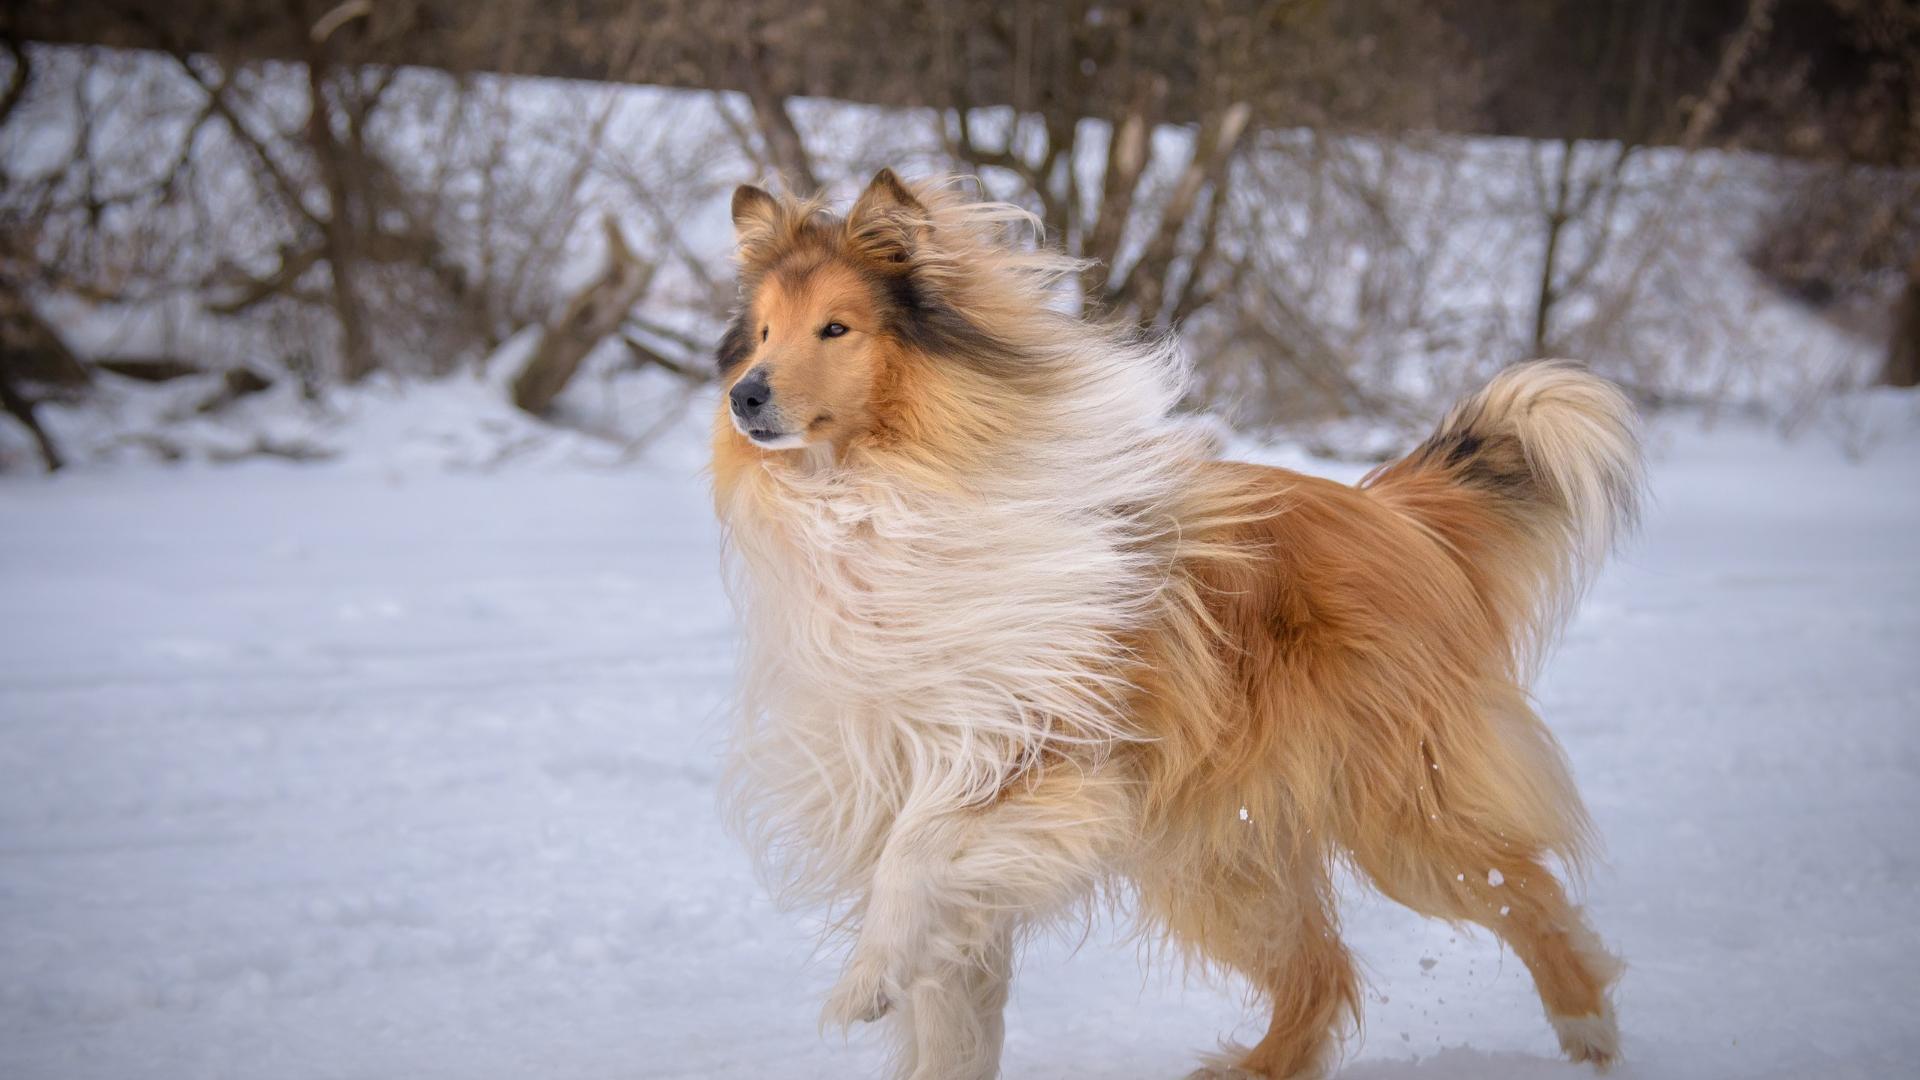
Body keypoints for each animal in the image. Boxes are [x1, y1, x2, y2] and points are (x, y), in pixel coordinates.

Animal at [714, 170, 1643, 1076]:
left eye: (836, 328)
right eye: (761, 331)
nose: (743, 396)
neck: (876, 500)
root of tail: (1393, 511)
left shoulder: (1040, 757)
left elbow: (913, 859)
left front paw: (865, 982)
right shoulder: (914, 781)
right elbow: (951, 1016)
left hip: (1396, 808)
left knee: (1524, 890)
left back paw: (1589, 1028)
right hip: (1220, 854)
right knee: (1323, 969)